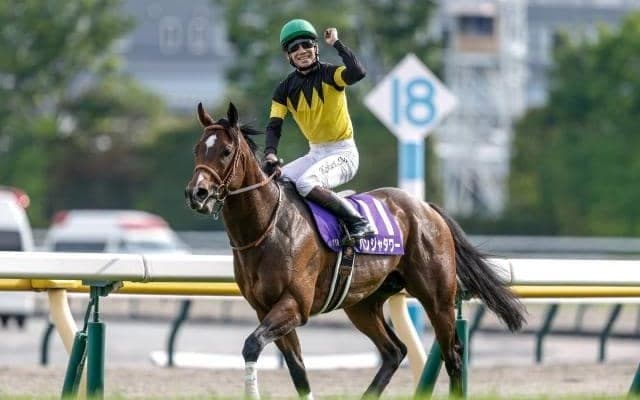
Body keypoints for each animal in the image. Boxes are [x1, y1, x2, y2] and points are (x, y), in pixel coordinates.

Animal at [185, 102, 526, 399]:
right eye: (198, 149)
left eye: (226, 151)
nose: (196, 193)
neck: (267, 228)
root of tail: (426, 208)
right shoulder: (264, 308)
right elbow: (297, 369)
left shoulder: (294, 305)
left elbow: (252, 344)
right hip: (362, 304)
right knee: (394, 351)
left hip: (437, 298)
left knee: (452, 355)